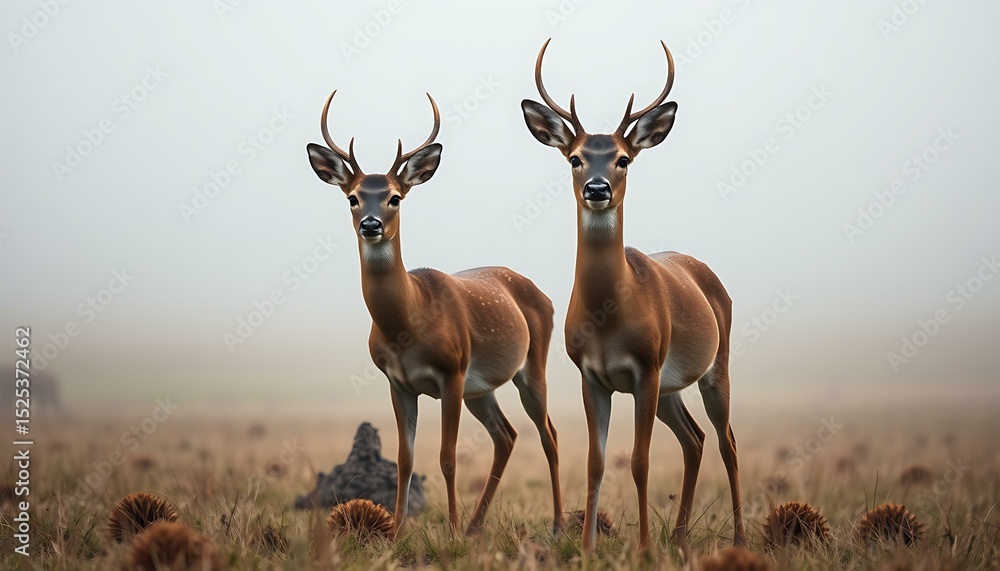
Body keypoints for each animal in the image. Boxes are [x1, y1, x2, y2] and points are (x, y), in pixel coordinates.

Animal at [306, 90, 563, 537]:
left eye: (394, 197)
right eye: (353, 197)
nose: (371, 224)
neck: (408, 322)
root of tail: (540, 292)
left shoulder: (451, 374)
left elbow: (447, 456)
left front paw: (452, 531)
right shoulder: (399, 383)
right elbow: (406, 459)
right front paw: (395, 533)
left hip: (530, 367)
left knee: (548, 434)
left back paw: (557, 525)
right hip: (483, 388)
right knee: (507, 435)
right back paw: (477, 526)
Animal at [520, 39, 747, 554]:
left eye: (623, 158)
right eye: (575, 158)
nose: (597, 188)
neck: (609, 316)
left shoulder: (645, 367)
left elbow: (641, 462)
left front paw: (642, 547)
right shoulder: (592, 376)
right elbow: (596, 462)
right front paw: (587, 548)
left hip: (713, 367)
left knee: (727, 440)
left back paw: (741, 538)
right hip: (670, 388)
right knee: (695, 439)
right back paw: (679, 538)